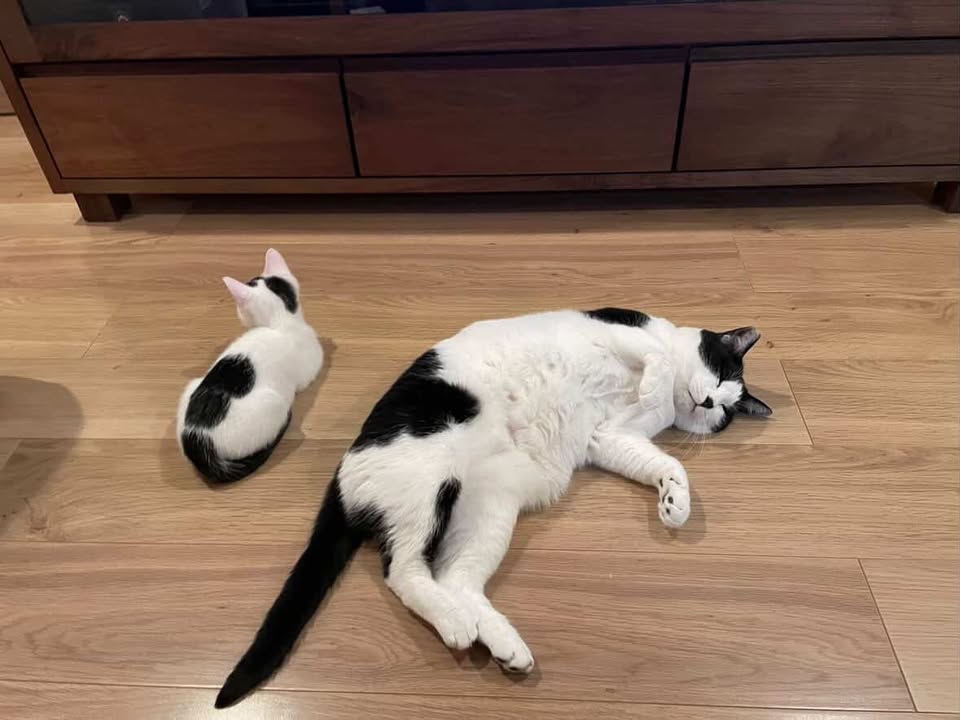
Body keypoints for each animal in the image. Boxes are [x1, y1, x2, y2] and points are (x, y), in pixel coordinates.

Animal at [215, 308, 771, 708]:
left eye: (727, 408)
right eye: (719, 373)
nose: (710, 404)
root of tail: (342, 476)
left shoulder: (610, 437)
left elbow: (663, 462)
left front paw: (675, 501)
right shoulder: (615, 332)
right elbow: (656, 355)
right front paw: (655, 382)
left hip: (489, 513)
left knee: (453, 578)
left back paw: (503, 644)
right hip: (430, 479)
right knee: (402, 571)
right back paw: (458, 626)